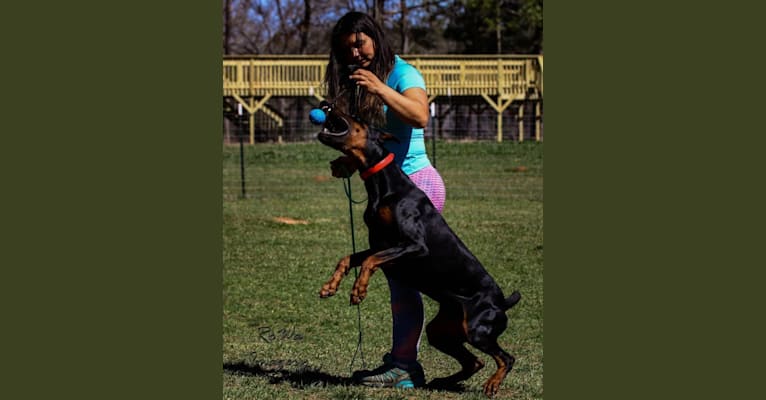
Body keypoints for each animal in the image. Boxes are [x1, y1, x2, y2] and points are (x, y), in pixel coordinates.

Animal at [316, 103, 520, 396]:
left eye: (356, 117)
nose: (326, 103)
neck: (383, 185)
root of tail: (502, 302)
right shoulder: (382, 244)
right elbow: (348, 258)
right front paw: (329, 287)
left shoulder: (414, 246)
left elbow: (370, 261)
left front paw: (358, 291)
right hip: (441, 331)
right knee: (475, 361)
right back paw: (444, 381)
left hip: (478, 329)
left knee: (505, 358)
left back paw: (491, 385)